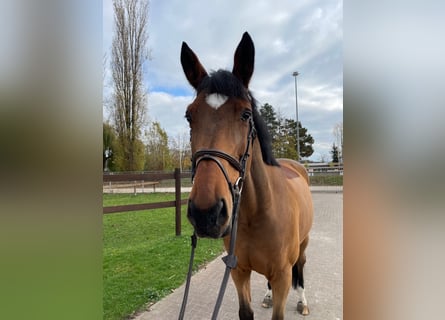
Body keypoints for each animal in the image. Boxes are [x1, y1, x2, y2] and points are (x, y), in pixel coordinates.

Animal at [180, 31, 312, 318]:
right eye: (189, 116)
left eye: (246, 113)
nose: (206, 213)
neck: (258, 214)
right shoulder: (238, 272)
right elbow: (246, 311)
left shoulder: (283, 277)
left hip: (304, 245)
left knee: (302, 267)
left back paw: (303, 301)